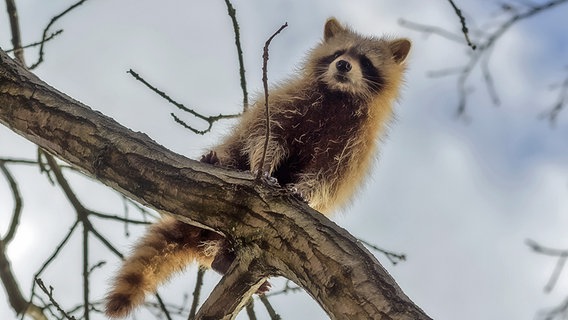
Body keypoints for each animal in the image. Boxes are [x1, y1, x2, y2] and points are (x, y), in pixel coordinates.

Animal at [104, 17, 410, 318]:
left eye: (364, 60)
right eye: (339, 53)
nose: (343, 65)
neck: (340, 95)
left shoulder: (354, 145)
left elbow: (327, 176)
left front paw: (305, 190)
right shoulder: (286, 102)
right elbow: (264, 136)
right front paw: (264, 165)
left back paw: (223, 257)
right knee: (231, 152)